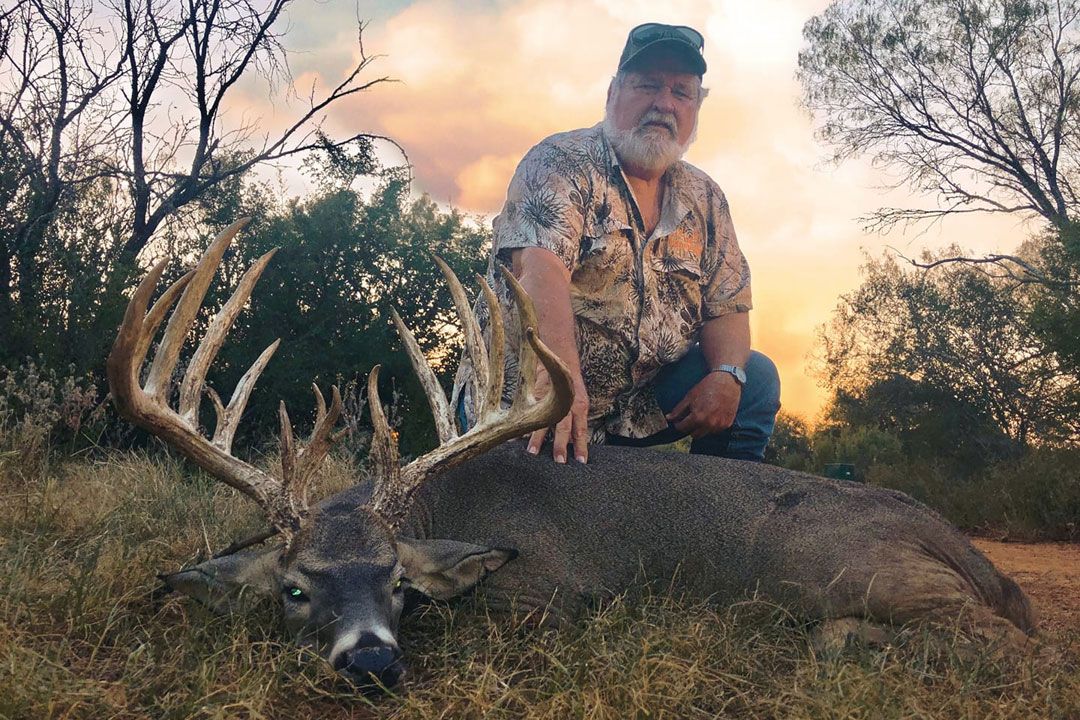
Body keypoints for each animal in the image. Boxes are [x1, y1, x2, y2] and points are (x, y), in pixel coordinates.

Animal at [108, 219, 1037, 692]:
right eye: (295, 589)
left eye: (400, 583)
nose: (371, 658)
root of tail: (965, 548)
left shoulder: (549, 594)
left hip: (866, 571)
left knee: (1001, 641)